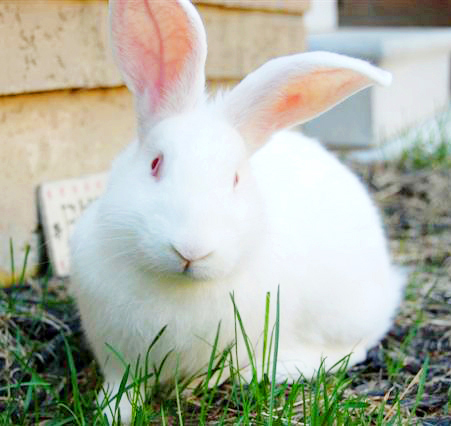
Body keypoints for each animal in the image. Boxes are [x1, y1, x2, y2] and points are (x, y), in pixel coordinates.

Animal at [70, 0, 404, 423]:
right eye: (155, 164)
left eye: (236, 179)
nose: (191, 250)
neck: (178, 286)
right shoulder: (118, 356)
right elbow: (122, 386)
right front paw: (112, 412)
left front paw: (200, 386)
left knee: (353, 348)